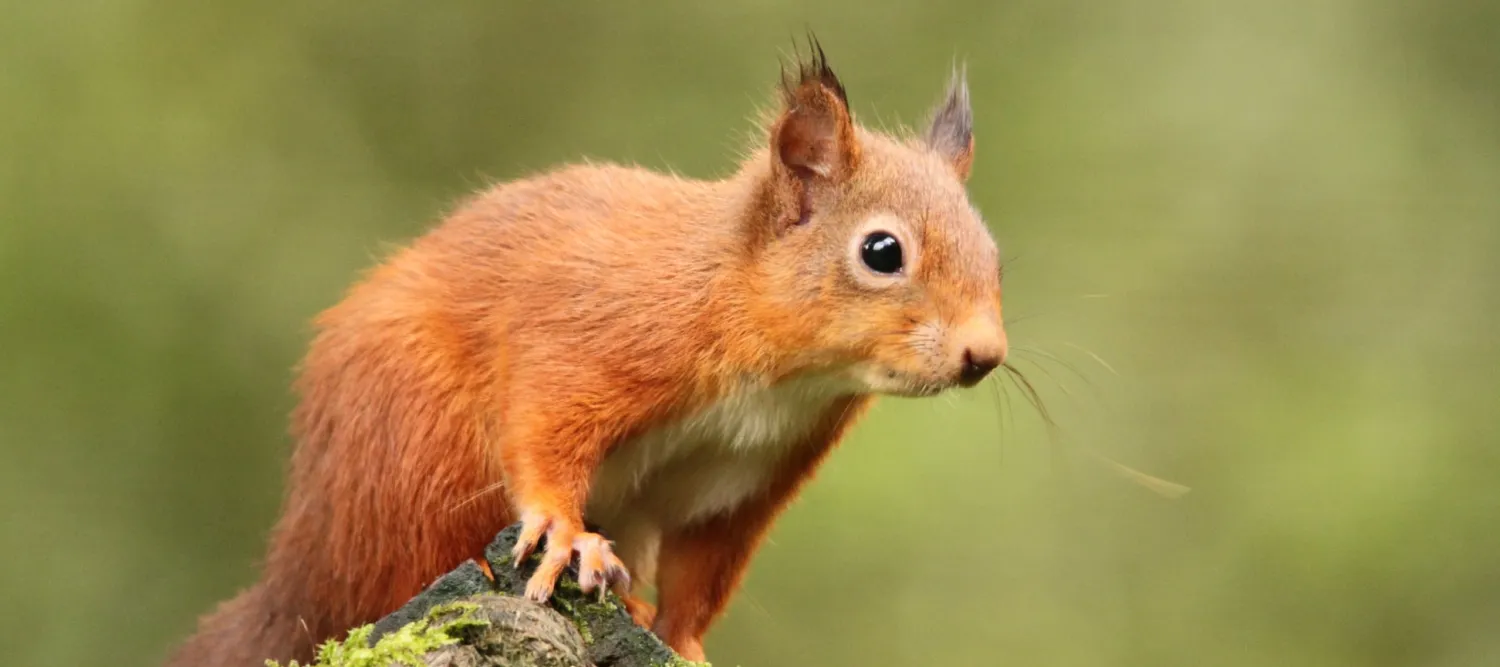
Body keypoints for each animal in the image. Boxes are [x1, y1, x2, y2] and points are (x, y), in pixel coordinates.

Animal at [166, 40, 1006, 666]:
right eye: (882, 251)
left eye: (994, 252)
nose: (986, 354)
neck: (775, 375)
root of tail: (298, 568)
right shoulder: (597, 331)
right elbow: (543, 427)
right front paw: (567, 534)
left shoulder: (748, 477)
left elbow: (703, 573)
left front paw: (686, 643)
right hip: (418, 446)